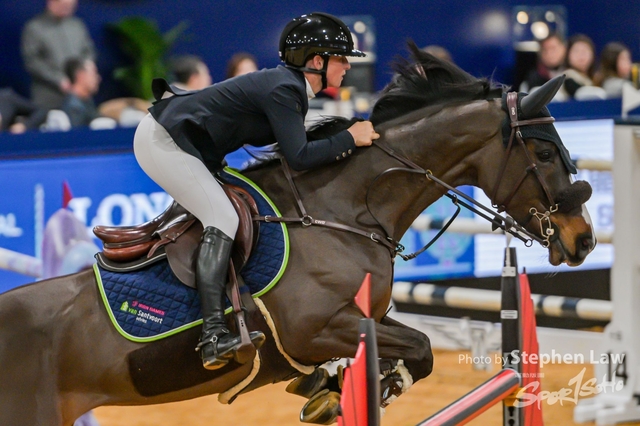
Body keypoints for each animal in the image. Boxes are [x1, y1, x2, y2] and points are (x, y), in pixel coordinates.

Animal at [0, 43, 595, 426]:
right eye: (544, 154)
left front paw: (330, 389)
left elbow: (417, 347)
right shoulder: (315, 328)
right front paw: (351, 390)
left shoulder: (363, 317)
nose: (584, 240)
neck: (344, 210)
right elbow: (419, 347)